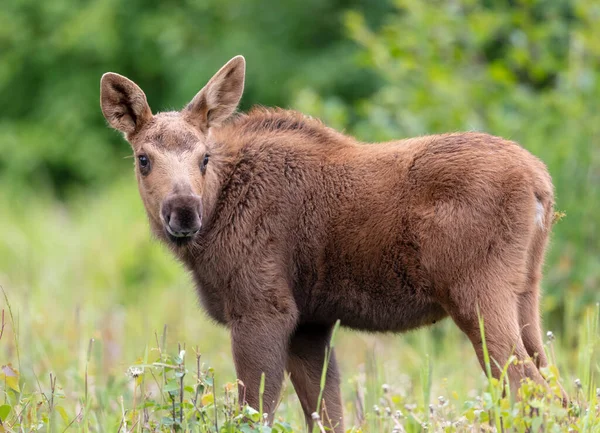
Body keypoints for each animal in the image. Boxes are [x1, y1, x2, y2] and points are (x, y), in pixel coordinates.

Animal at [101, 55, 564, 430]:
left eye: (204, 157)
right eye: (143, 159)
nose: (183, 212)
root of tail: (541, 185)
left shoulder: (263, 308)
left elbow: (257, 411)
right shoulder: (311, 322)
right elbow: (327, 413)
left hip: (476, 292)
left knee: (528, 388)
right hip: (526, 293)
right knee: (556, 389)